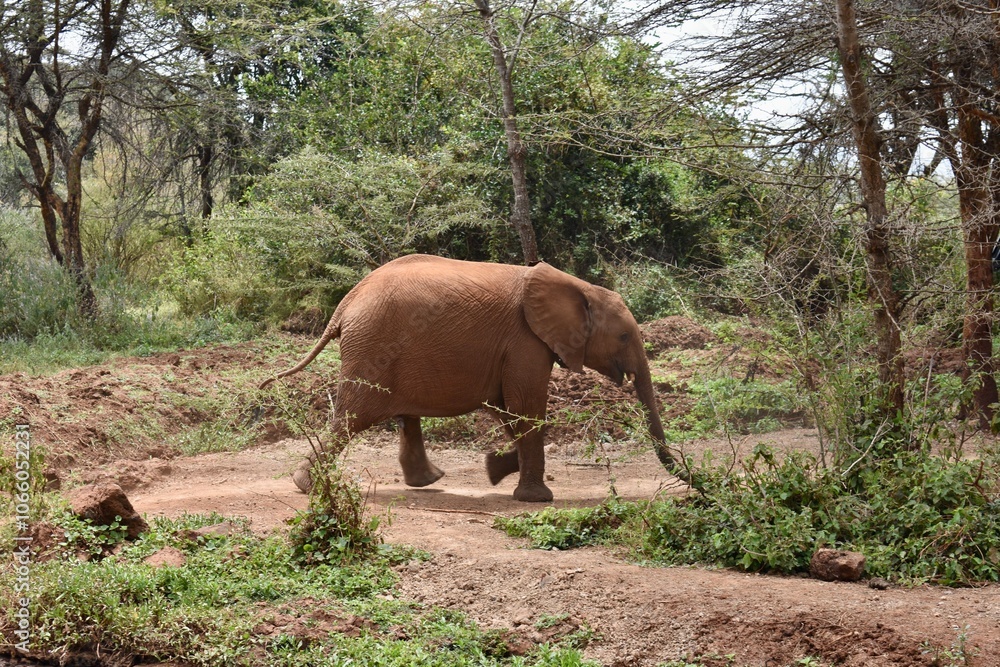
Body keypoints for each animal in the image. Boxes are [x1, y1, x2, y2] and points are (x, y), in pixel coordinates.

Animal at [258, 254, 691, 502]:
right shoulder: (525, 340)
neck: (579, 286)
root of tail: (346, 302)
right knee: (352, 419)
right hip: (373, 347)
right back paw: (306, 486)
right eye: (624, 337)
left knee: (401, 416)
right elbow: (525, 406)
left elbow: (508, 409)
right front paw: (536, 498)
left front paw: (494, 469)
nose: (691, 481)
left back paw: (427, 481)